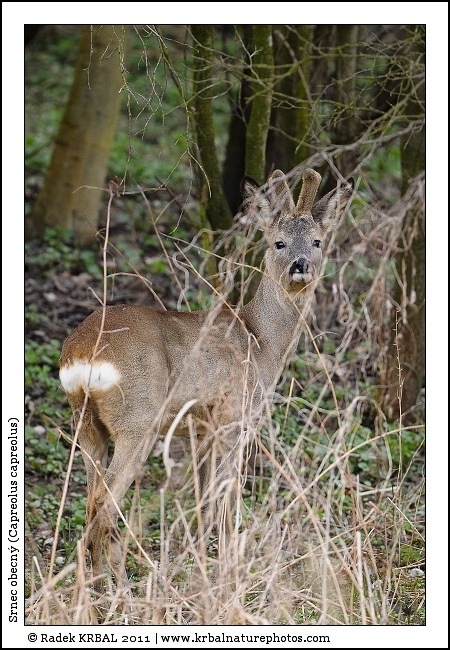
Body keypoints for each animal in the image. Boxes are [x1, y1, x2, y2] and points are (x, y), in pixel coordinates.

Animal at [59, 167, 353, 593]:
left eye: (317, 241)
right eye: (278, 242)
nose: (301, 265)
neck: (260, 342)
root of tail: (81, 353)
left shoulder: (200, 429)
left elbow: (202, 503)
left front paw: (199, 567)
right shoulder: (233, 418)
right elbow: (225, 500)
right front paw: (229, 571)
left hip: (85, 422)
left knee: (90, 496)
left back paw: (95, 587)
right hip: (138, 420)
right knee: (105, 500)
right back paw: (119, 587)